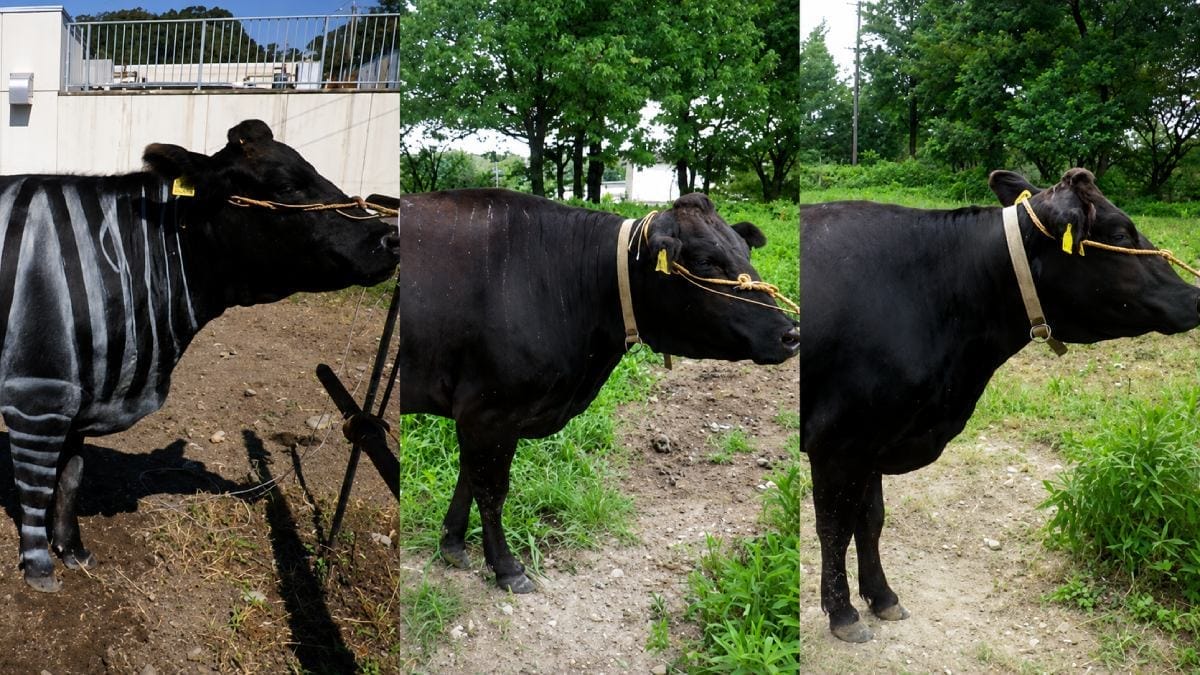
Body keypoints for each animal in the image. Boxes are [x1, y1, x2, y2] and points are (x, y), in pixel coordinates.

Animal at [0, 119, 399, 592]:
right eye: (286, 186)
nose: (390, 237)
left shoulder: (87, 390)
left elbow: (71, 477)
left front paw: (73, 549)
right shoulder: (39, 392)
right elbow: (38, 483)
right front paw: (39, 567)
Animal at [397, 189, 800, 593]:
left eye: (745, 252)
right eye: (704, 261)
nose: (791, 334)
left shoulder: (478, 414)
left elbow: (469, 477)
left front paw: (452, 544)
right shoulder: (490, 411)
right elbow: (491, 490)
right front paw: (507, 567)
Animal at [801, 168, 1200, 642]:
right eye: (1121, 233)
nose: (1195, 296)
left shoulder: (877, 436)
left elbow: (871, 519)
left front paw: (883, 597)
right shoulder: (838, 441)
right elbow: (835, 528)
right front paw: (842, 612)